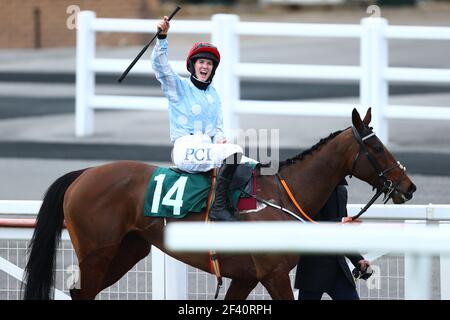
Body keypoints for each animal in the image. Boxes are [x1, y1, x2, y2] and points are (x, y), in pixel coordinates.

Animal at [21, 108, 414, 300]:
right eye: (376, 147)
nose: (408, 187)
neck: (281, 197)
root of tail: (84, 173)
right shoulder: (273, 274)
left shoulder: (245, 277)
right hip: (96, 253)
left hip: (128, 250)